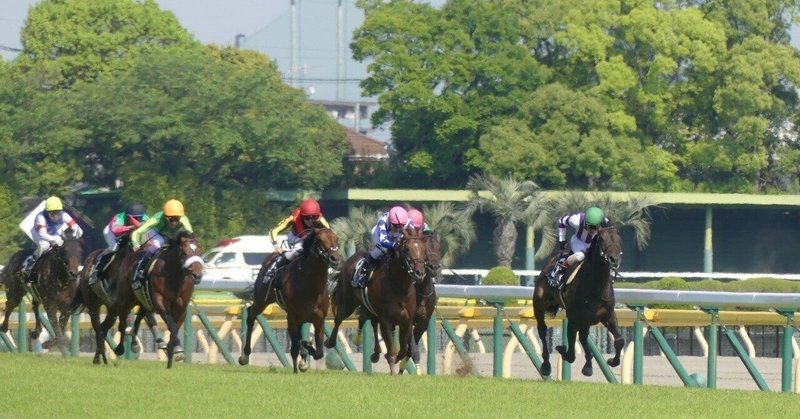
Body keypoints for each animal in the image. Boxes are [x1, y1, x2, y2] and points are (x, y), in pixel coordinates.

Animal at [236, 226, 340, 374]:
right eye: (320, 240)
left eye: (336, 239)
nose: (335, 258)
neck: (311, 286)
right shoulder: (291, 316)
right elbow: (295, 348)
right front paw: (296, 369)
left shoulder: (319, 319)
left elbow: (319, 352)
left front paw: (306, 351)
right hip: (262, 299)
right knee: (251, 314)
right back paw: (244, 356)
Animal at [324, 228, 428, 376]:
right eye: (407, 249)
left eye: (424, 249)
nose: (420, 272)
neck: (399, 287)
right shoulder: (386, 320)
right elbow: (391, 350)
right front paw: (392, 370)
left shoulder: (406, 321)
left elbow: (402, 350)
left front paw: (394, 360)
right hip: (347, 303)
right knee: (339, 319)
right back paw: (331, 342)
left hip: (369, 307)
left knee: (367, 320)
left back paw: (374, 352)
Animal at [532, 228, 624, 378]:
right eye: (601, 239)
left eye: (619, 239)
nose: (614, 259)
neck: (596, 286)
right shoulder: (574, 317)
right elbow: (570, 353)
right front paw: (561, 348)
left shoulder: (607, 314)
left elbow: (620, 340)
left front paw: (612, 361)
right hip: (539, 304)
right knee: (542, 330)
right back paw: (546, 365)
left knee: (583, 337)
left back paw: (588, 365)